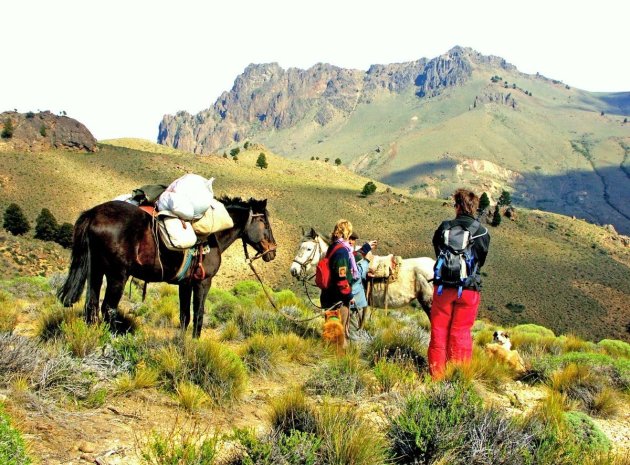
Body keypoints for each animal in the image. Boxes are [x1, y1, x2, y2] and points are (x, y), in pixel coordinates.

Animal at [57, 196, 276, 338]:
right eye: (264, 222)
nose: (272, 251)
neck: (213, 237)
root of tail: (94, 213)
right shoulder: (203, 282)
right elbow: (198, 315)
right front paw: (195, 344)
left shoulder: (185, 284)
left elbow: (184, 316)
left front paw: (182, 344)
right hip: (117, 275)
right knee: (108, 309)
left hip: (96, 271)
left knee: (91, 305)